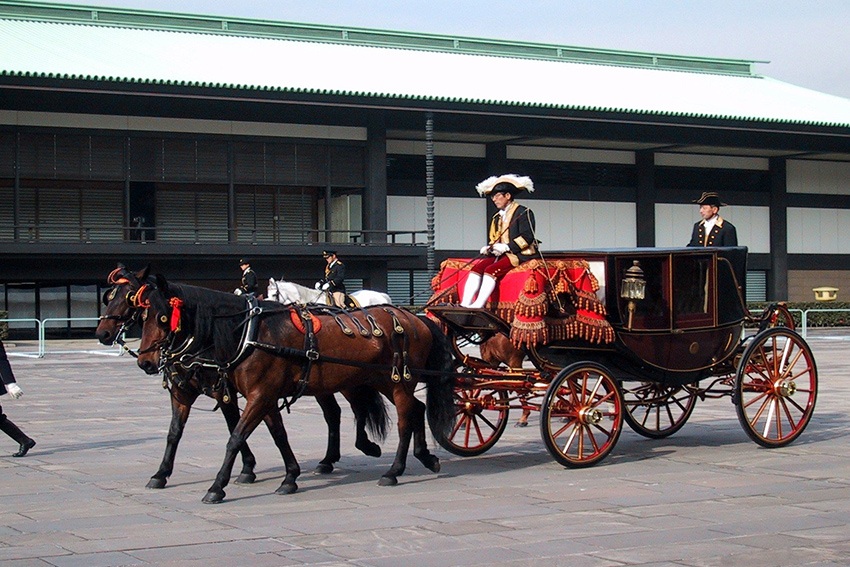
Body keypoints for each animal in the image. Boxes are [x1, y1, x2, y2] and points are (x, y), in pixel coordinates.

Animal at [93, 264, 384, 490]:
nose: (103, 333)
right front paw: (162, 473)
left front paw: (245, 470)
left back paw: (364, 446)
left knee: (356, 409)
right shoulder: (191, 391)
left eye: (129, 297)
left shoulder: (233, 391)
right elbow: (178, 432)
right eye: (110, 296)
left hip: (348, 379)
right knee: (334, 413)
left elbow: (238, 429)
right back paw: (328, 460)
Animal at [132, 272, 454, 504]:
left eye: (162, 317)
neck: (250, 334)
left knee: (403, 420)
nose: (145, 361)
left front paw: (217, 486)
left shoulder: (259, 396)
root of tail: (414, 317)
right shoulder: (263, 397)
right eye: (140, 316)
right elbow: (278, 436)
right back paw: (424, 457)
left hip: (398, 381)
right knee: (416, 409)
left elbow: (235, 438)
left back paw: (394, 470)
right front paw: (290, 477)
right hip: (384, 380)